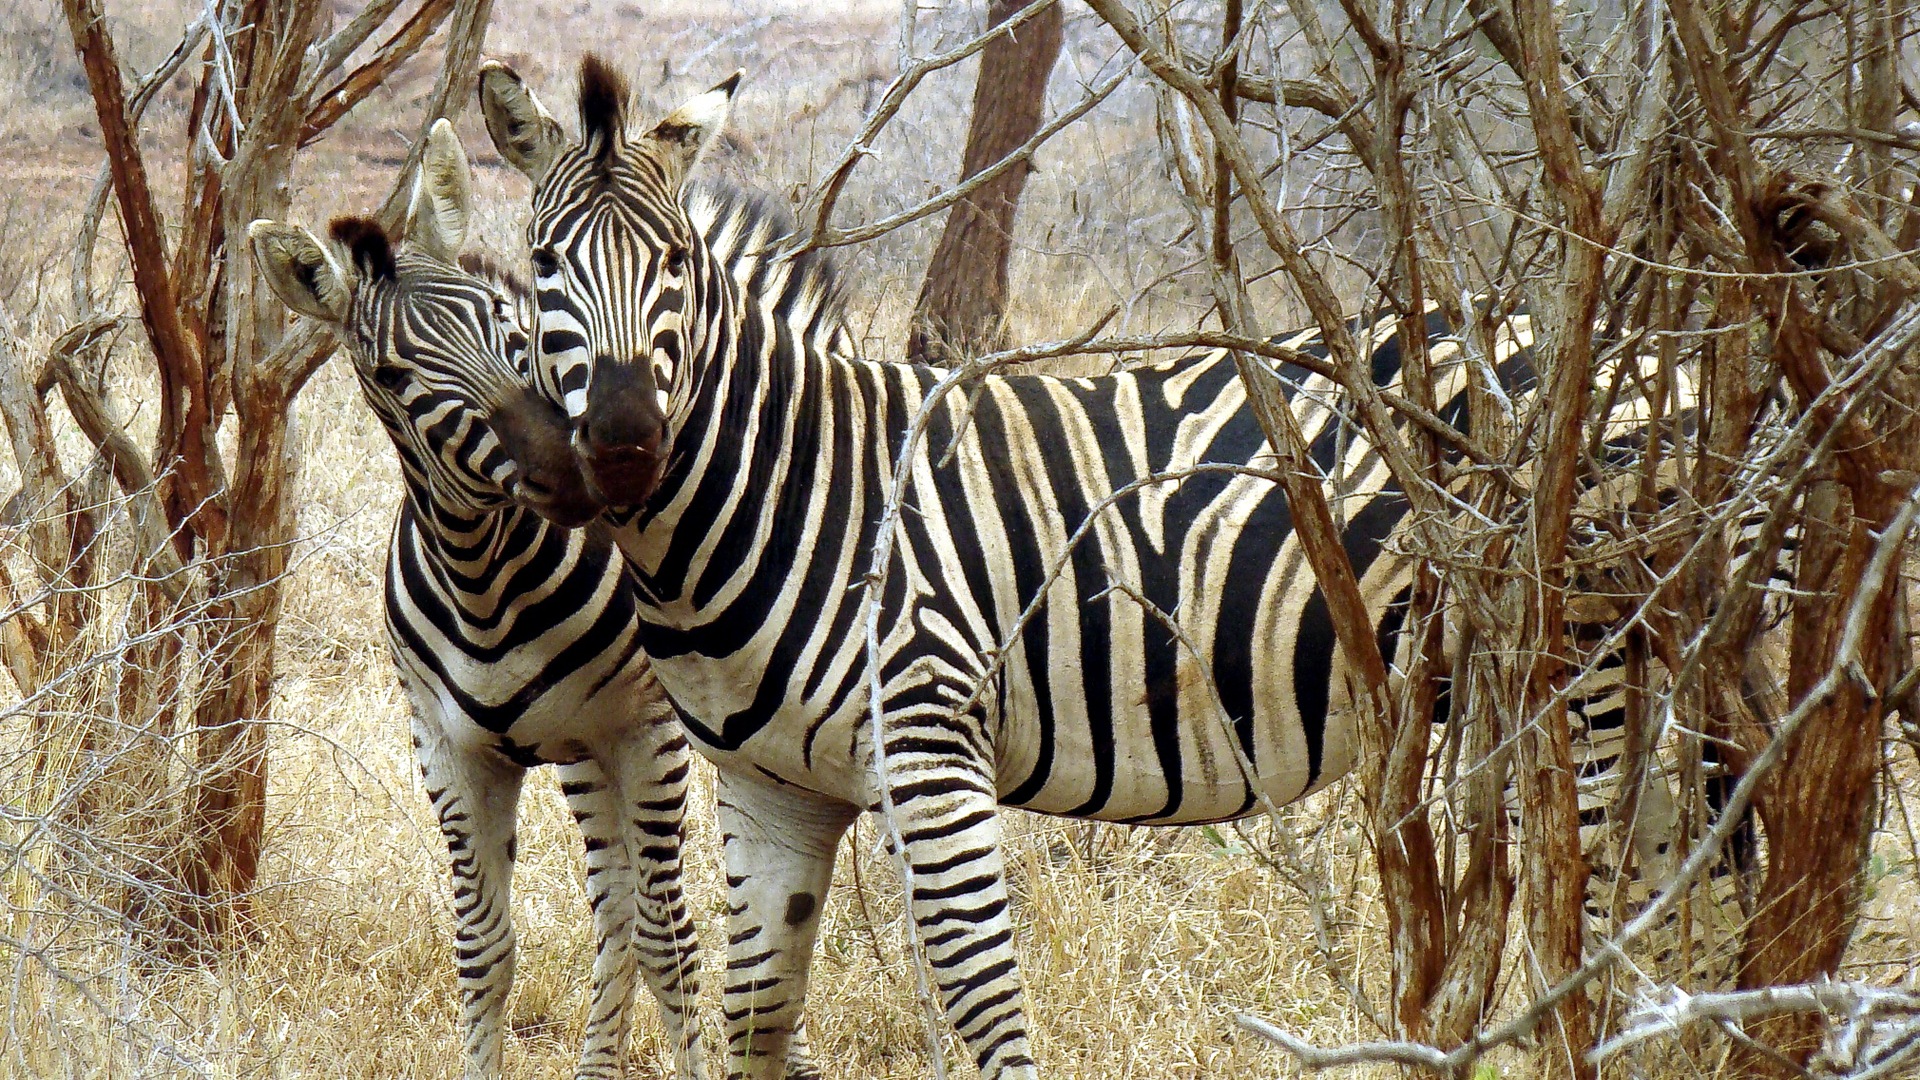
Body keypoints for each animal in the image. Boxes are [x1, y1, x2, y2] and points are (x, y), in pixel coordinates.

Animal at [247, 119, 706, 1076]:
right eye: (390, 374)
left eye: (502, 318)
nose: (574, 470)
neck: (485, 577)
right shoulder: (452, 752)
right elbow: (486, 950)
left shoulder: (649, 728)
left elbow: (672, 945)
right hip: (579, 746)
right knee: (612, 901)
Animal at [480, 56, 1766, 1076]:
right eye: (542, 264)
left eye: (677, 268)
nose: (627, 441)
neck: (790, 490)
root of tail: (1647, 341)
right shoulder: (771, 787)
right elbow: (756, 1021)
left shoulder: (931, 743)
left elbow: (983, 1012)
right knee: (1681, 895)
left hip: (1592, 652)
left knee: (1647, 889)